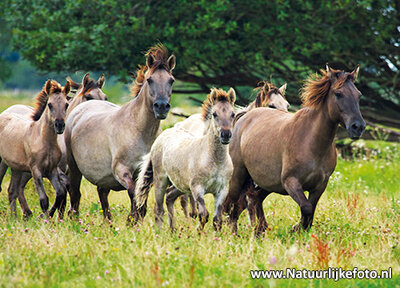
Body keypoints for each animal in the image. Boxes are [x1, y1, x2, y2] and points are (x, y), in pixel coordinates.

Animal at [0, 80, 70, 217]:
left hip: (16, 168)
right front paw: (44, 219)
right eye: (50, 105)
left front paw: (46, 217)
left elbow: (59, 193)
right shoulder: (36, 170)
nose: (59, 125)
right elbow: (44, 199)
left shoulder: (52, 170)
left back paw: (14, 218)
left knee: (12, 191)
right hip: (2, 163)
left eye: (66, 104)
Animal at [65, 44, 176, 222]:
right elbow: (133, 193)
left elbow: (141, 201)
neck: (139, 131)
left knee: (102, 194)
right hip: (74, 167)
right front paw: (132, 220)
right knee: (75, 194)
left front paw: (135, 220)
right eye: (149, 80)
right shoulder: (121, 170)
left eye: (171, 80)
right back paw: (74, 220)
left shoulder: (145, 174)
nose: (161, 106)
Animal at [136, 88, 236, 232]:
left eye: (232, 114)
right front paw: (198, 232)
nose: (226, 135)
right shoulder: (197, 188)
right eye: (214, 114)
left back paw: (173, 230)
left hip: (180, 184)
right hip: (161, 180)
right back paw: (160, 232)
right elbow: (204, 214)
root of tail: (163, 135)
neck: (214, 160)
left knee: (169, 197)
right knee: (158, 209)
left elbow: (217, 220)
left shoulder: (222, 190)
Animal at [225, 64, 366, 234]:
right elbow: (306, 207)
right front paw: (294, 229)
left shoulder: (319, 186)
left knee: (250, 200)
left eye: (358, 95)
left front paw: (298, 229)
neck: (311, 142)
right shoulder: (290, 182)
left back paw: (257, 231)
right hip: (238, 176)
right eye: (338, 94)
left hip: (267, 182)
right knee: (230, 205)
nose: (358, 127)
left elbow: (310, 212)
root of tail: (245, 117)